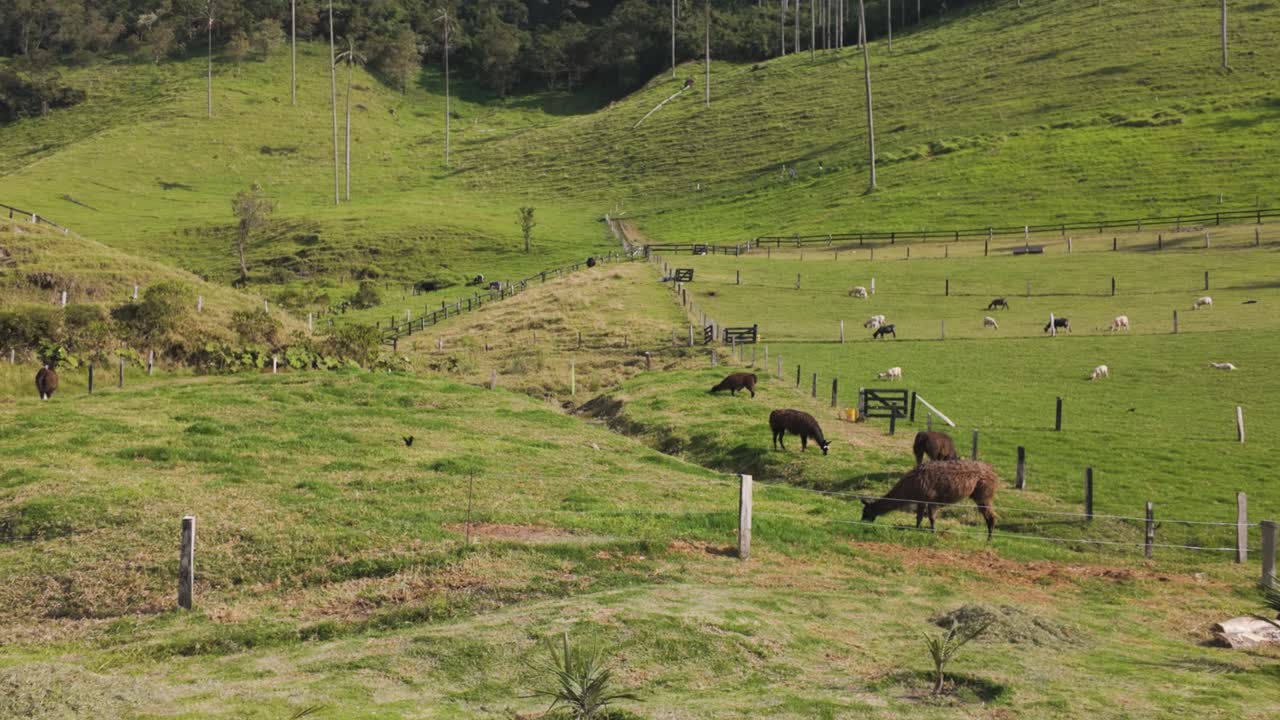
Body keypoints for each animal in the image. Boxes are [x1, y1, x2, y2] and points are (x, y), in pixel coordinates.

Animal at [861, 459, 999, 539]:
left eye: (865, 512)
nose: (861, 521)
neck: (910, 486)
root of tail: (992, 470)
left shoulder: (930, 498)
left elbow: (930, 517)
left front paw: (931, 532)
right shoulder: (922, 499)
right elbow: (920, 516)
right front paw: (918, 529)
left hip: (984, 494)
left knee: (991, 516)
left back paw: (989, 538)